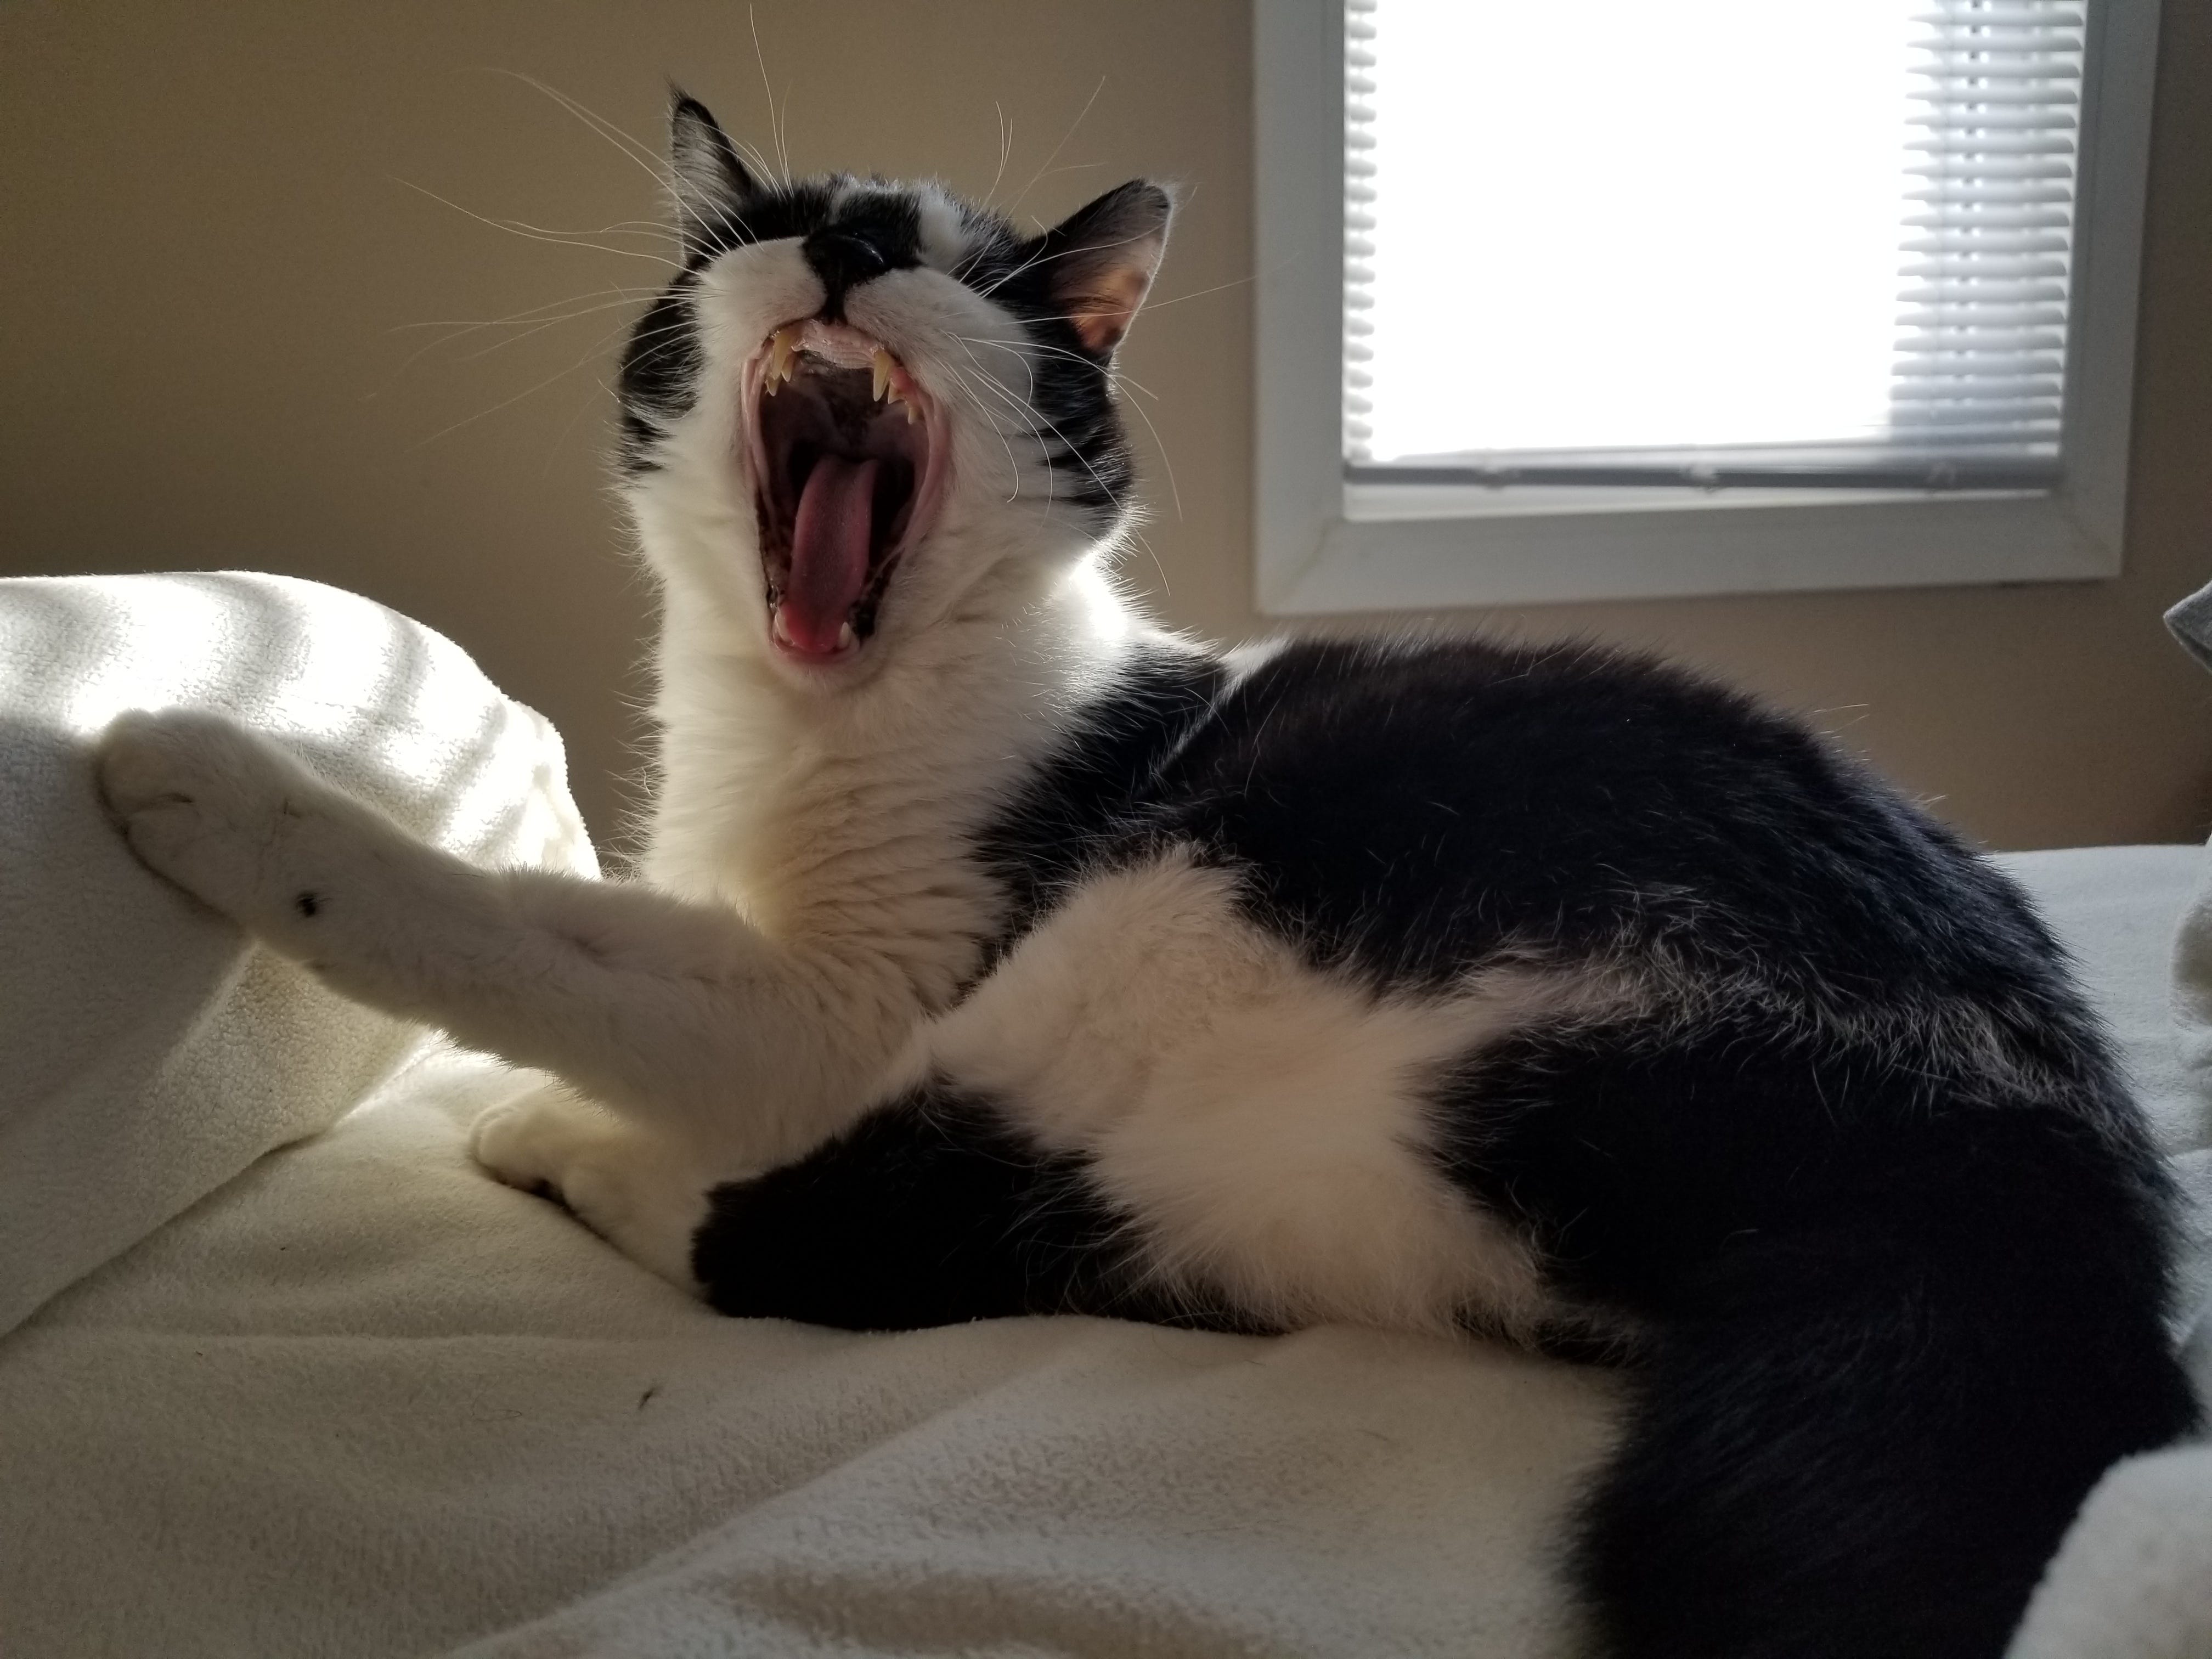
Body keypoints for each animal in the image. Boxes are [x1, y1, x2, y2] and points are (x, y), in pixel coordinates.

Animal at [97, 94, 2198, 1659]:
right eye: (772, 220)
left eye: (966, 270)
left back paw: (563, 1144)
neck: (829, 716)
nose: (854, 239)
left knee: (819, 1239)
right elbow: (598, 913)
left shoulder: (862, 1004)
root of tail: (2031, 1166)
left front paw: (225, 785)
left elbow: (529, 937)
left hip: (1209, 928)